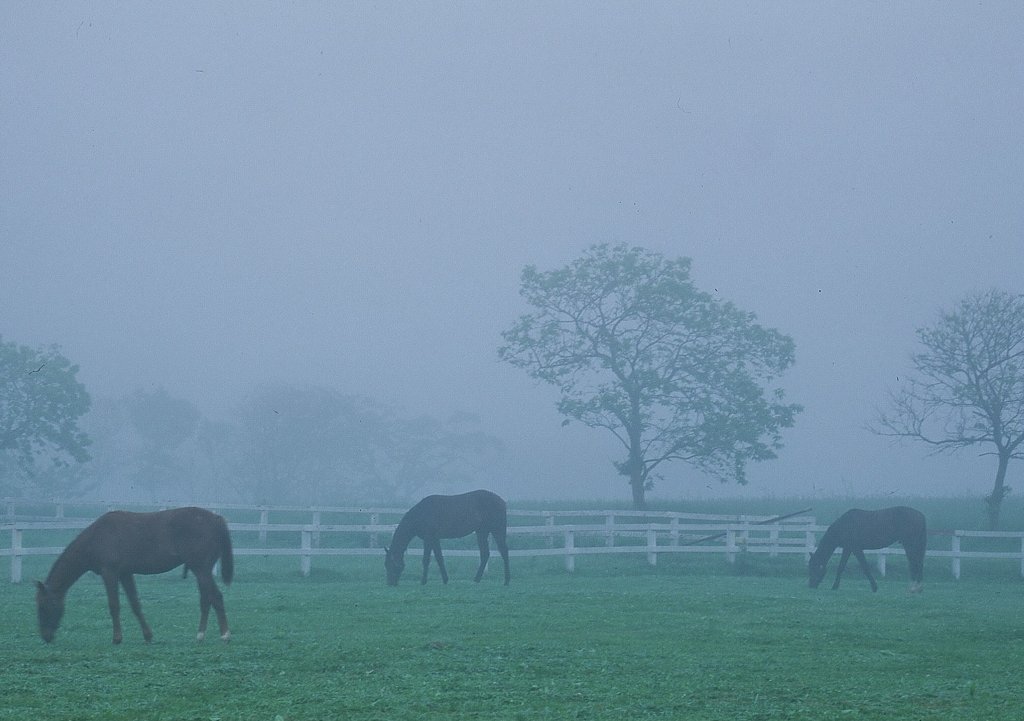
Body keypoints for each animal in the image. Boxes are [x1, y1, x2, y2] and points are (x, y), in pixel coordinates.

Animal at [35, 503, 234, 643]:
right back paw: (202, 634)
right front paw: (148, 635)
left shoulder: (110, 573)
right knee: (207, 598)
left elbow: (114, 605)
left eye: (43, 606)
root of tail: (217, 519)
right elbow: (135, 604)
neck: (97, 537)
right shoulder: (125, 574)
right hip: (201, 570)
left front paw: (117, 638)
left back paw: (223, 635)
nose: (45, 636)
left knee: (215, 597)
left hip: (201, 569)